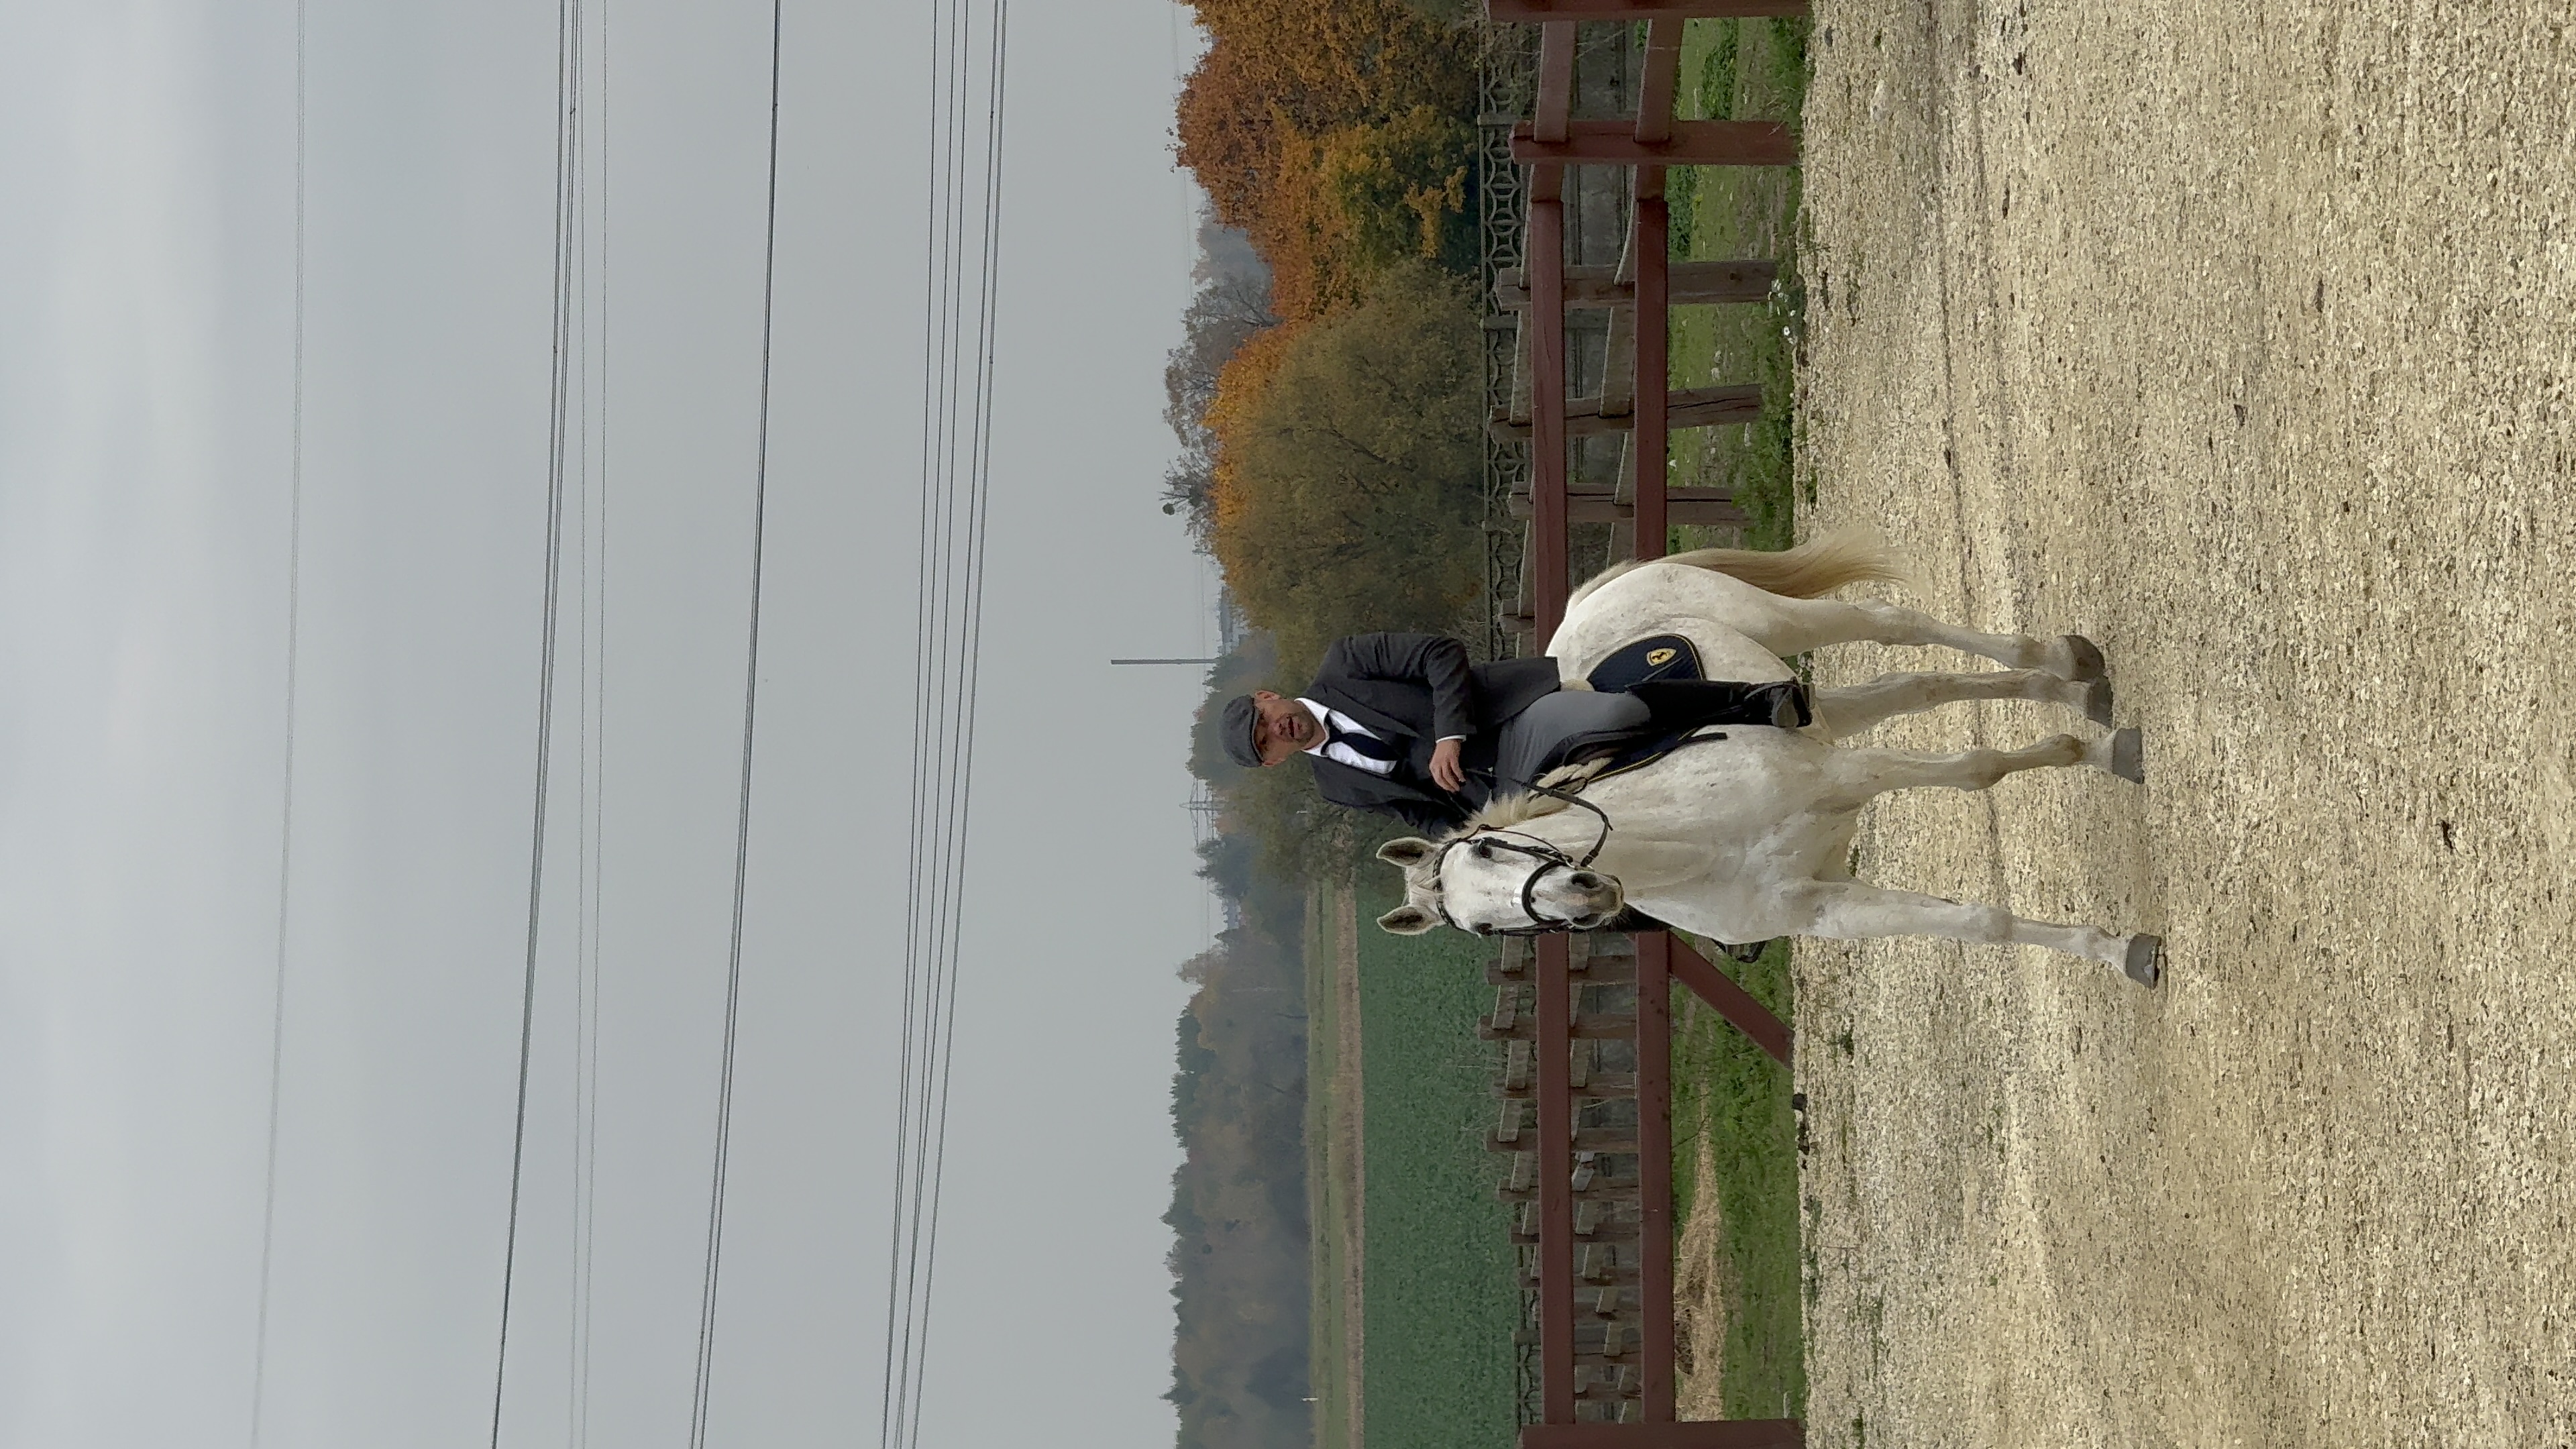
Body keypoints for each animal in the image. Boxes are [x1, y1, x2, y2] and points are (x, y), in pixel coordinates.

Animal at [1372, 533, 2163, 986]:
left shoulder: (1843, 777)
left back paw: (2066, 669)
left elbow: (1979, 768)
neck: (1694, 842)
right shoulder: (1827, 907)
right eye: (1485, 929)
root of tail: (1583, 606)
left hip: (1786, 623)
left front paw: (2098, 755)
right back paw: (2066, 684)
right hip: (1825, 709)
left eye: (1490, 848)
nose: (1583, 896)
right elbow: (1982, 926)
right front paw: (2120, 953)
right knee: (1913, 686)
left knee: (1894, 628)